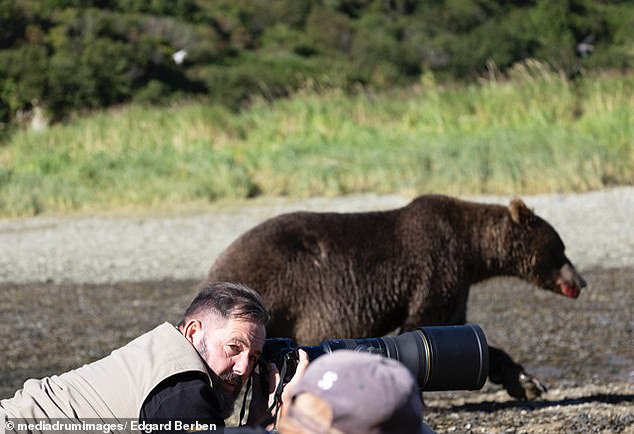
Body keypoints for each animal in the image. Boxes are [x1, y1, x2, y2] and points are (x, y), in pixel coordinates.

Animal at [205, 195, 584, 402]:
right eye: (562, 248)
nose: (580, 281)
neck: (473, 251)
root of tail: (217, 265)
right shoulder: (436, 266)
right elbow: (424, 323)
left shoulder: (454, 285)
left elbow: (463, 332)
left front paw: (527, 382)